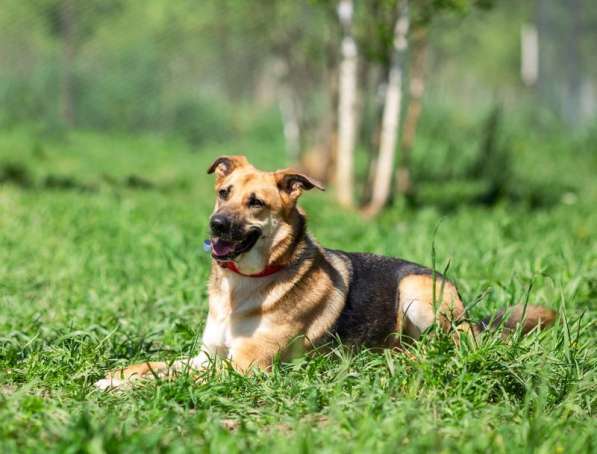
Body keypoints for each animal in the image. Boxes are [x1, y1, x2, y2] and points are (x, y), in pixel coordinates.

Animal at [93, 156, 556, 390]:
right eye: (223, 193)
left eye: (256, 203)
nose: (216, 226)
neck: (245, 285)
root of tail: (471, 318)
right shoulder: (209, 356)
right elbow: (157, 365)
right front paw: (117, 376)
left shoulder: (245, 365)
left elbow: (168, 378)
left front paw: (126, 386)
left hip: (417, 292)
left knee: (446, 346)